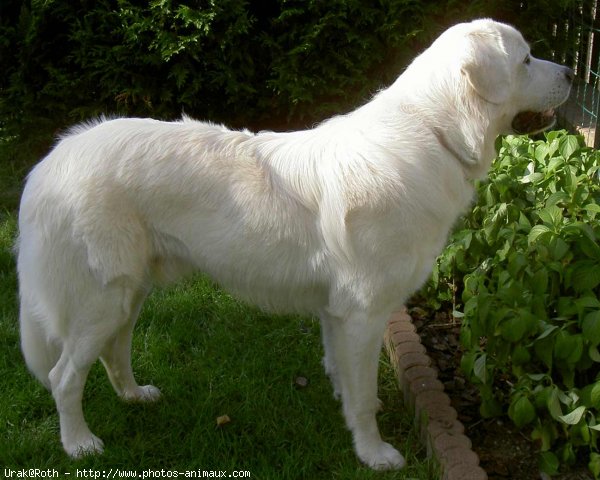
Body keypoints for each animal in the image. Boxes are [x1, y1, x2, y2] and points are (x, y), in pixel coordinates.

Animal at [17, 18, 572, 468]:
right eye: (526, 59)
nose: (569, 73)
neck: (435, 132)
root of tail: (53, 160)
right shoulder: (365, 311)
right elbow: (365, 395)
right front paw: (374, 454)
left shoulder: (338, 310)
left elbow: (345, 376)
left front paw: (348, 413)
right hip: (101, 298)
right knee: (65, 375)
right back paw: (79, 444)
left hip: (128, 292)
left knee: (114, 351)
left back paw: (134, 396)